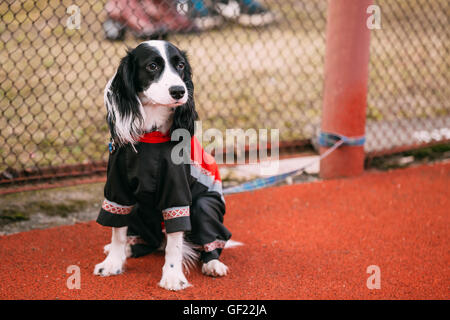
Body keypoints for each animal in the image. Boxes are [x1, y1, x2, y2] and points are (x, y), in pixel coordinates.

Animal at [91, 40, 239, 290]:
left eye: (180, 65)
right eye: (152, 66)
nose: (179, 91)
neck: (151, 136)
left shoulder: (176, 195)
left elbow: (175, 243)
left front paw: (172, 276)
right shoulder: (118, 190)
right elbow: (117, 231)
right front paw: (112, 263)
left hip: (205, 206)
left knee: (205, 242)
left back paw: (212, 264)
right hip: (139, 209)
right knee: (148, 242)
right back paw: (129, 249)